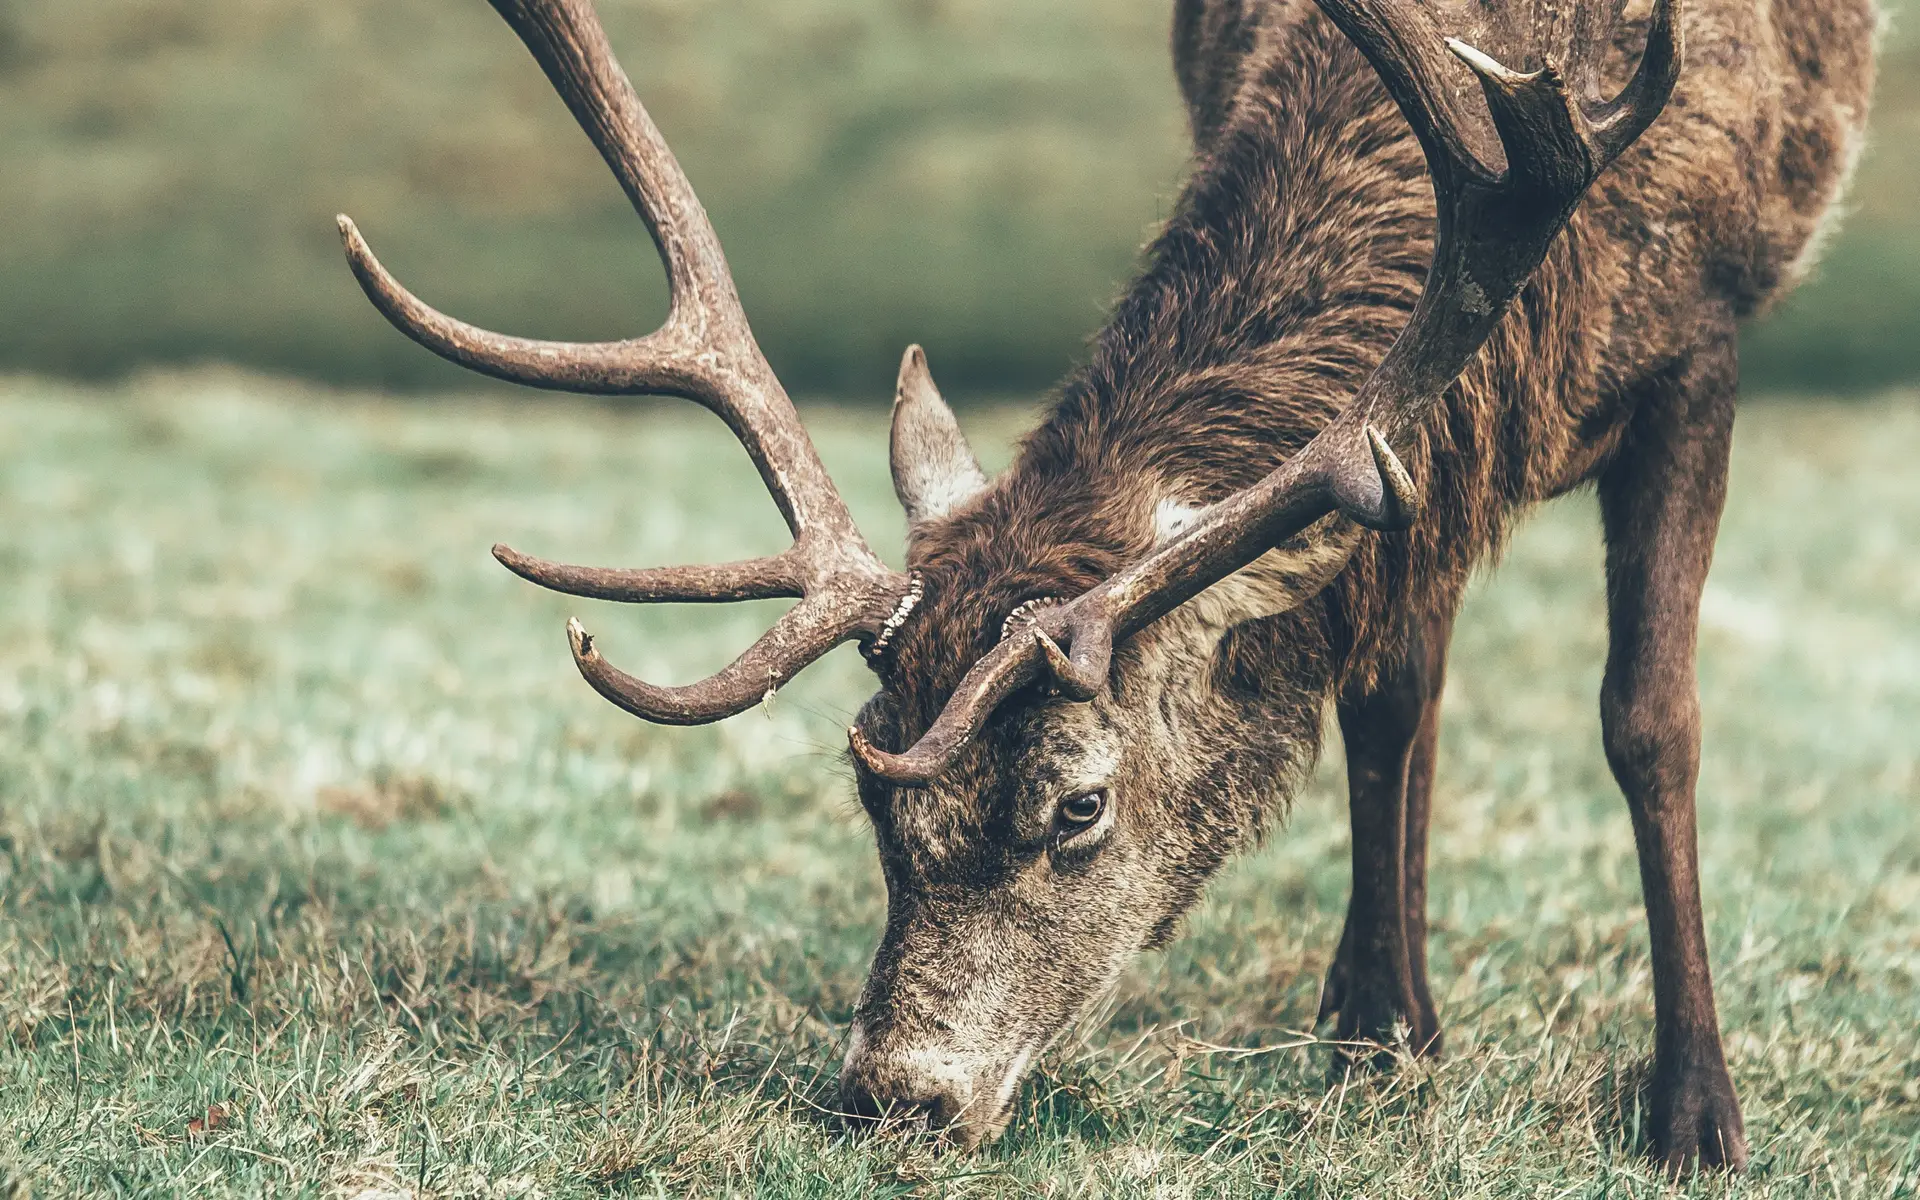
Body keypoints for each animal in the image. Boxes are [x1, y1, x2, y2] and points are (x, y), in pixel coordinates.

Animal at [334, 0, 1873, 1167]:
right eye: (872, 792)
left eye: (1079, 803)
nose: (897, 1095)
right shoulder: (1420, 463)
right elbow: (1385, 688)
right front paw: (1381, 1034)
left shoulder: (1701, 346)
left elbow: (1649, 722)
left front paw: (1694, 1115)